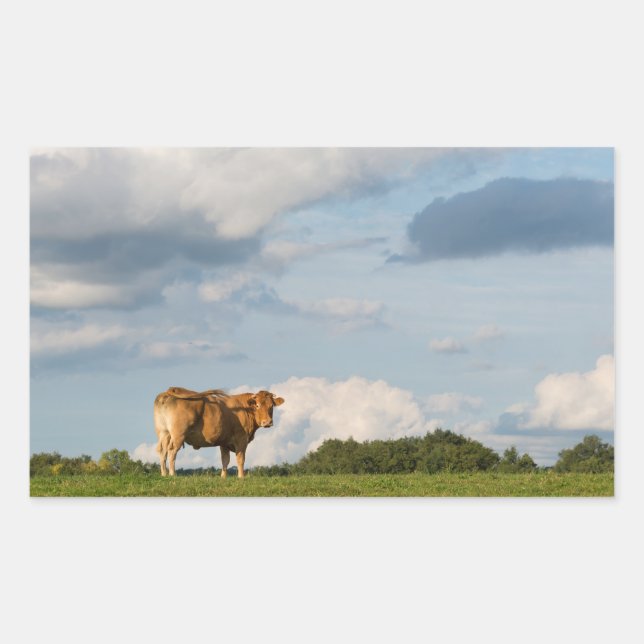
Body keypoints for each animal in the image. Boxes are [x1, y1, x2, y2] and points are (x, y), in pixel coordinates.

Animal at [154, 386, 284, 478]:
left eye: (271, 406)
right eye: (257, 405)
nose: (267, 422)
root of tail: (167, 392)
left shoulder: (224, 442)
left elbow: (225, 460)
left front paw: (223, 477)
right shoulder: (241, 439)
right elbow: (240, 459)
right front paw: (241, 477)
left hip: (164, 433)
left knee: (162, 451)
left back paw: (164, 474)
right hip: (178, 435)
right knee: (171, 451)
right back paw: (172, 474)